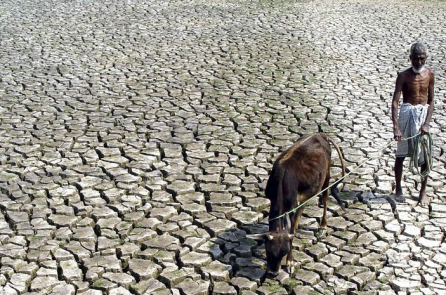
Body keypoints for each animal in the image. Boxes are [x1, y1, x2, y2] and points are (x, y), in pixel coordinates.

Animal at [249, 134, 346, 278]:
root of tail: (321, 135)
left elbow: (291, 232)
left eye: (284, 253)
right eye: (268, 251)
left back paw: (322, 226)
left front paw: (290, 263)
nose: (273, 274)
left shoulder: (291, 206)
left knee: (325, 198)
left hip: (326, 175)